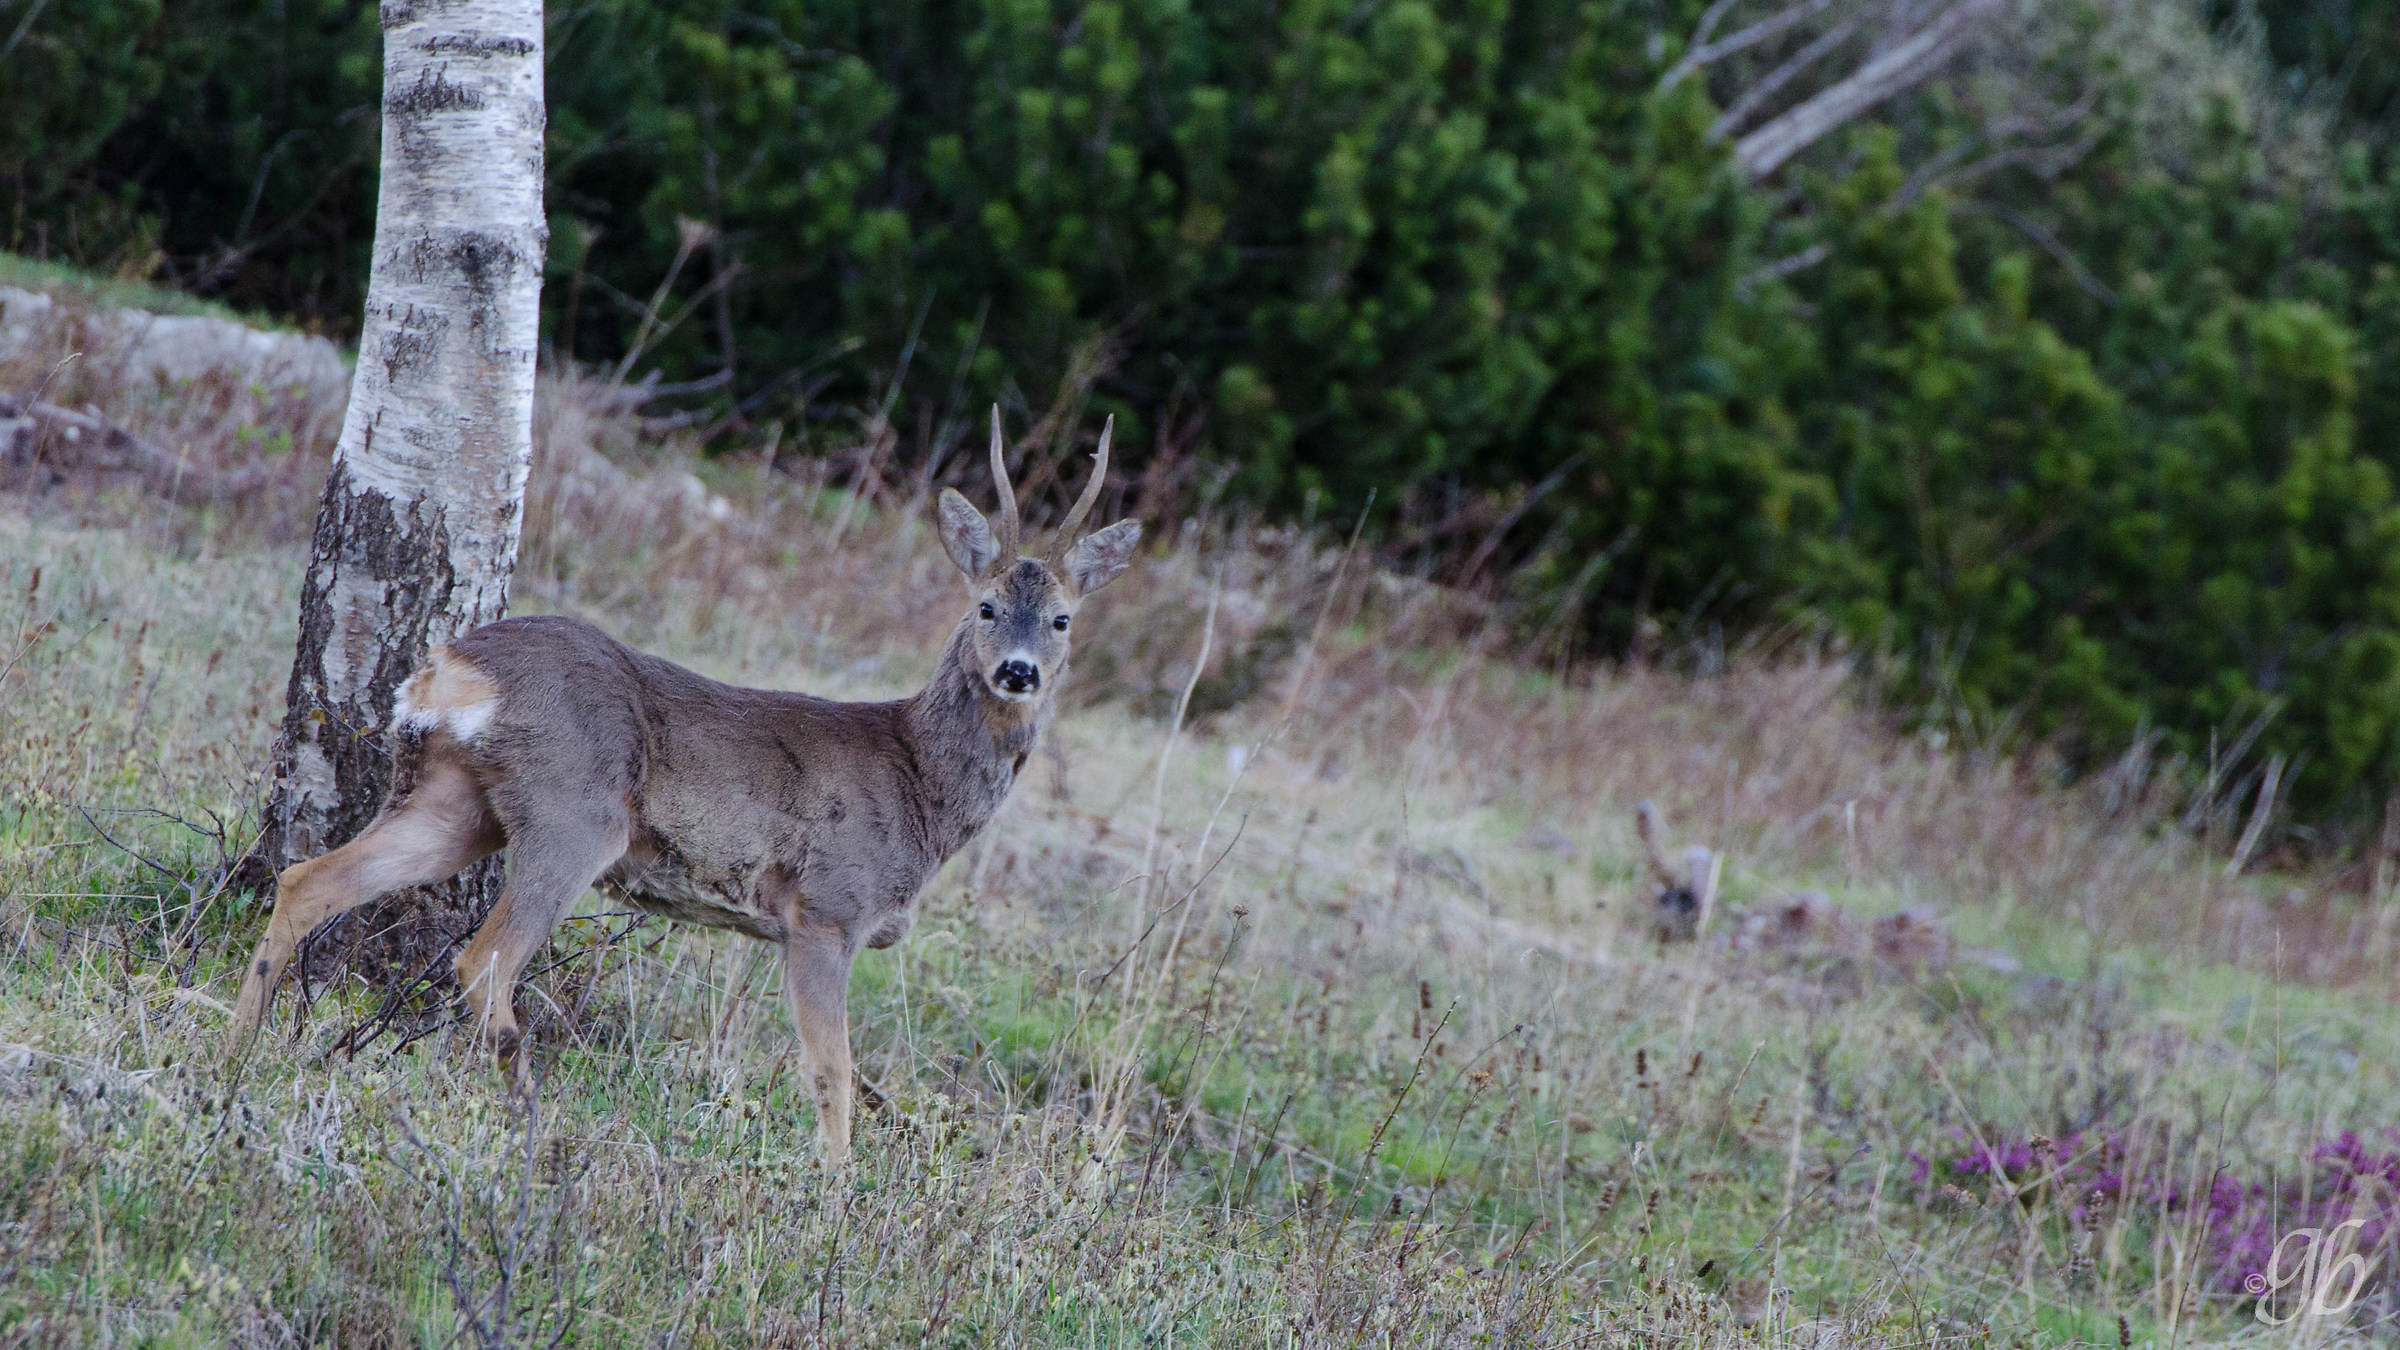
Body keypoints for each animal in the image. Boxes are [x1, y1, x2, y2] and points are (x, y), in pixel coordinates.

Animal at [225, 409, 1141, 1160]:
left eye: (1062, 619)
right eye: (985, 606)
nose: (1018, 672)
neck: (919, 783)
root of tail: (453, 666)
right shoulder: (825, 911)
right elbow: (833, 1075)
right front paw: (837, 1202)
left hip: (457, 805)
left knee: (309, 878)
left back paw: (240, 1049)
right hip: (574, 814)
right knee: (484, 961)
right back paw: (530, 1124)